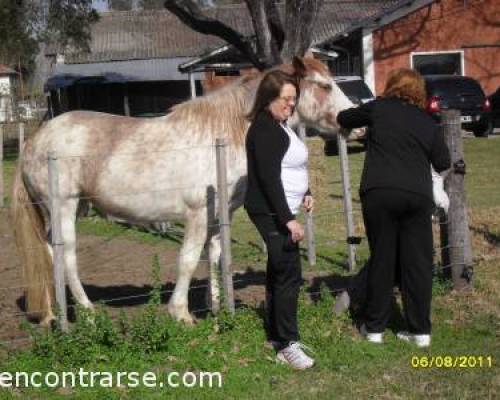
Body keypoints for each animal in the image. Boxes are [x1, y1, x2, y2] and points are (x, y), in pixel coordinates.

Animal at [11, 57, 356, 324]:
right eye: (324, 85)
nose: (352, 121)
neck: (223, 133)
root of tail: (35, 141)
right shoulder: (197, 214)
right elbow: (188, 260)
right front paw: (181, 313)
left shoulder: (218, 216)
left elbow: (214, 255)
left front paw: (216, 306)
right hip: (64, 209)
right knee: (65, 256)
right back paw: (85, 312)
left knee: (49, 254)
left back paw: (54, 312)